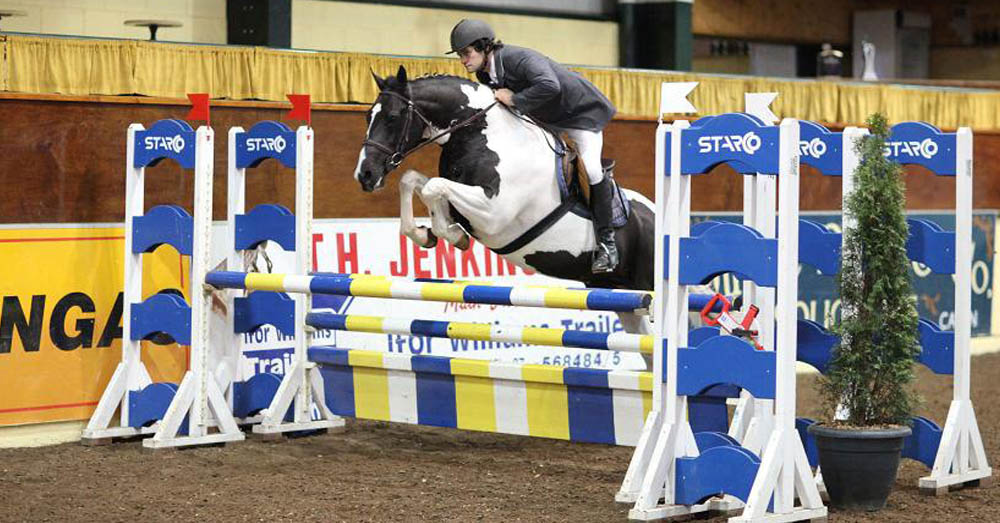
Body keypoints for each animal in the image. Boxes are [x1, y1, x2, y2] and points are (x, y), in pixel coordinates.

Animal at [356, 66, 660, 336]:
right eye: (368, 116)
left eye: (393, 117)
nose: (365, 174)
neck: (480, 132)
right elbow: (413, 181)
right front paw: (427, 234)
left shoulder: (493, 213)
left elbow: (433, 186)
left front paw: (452, 236)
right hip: (620, 294)